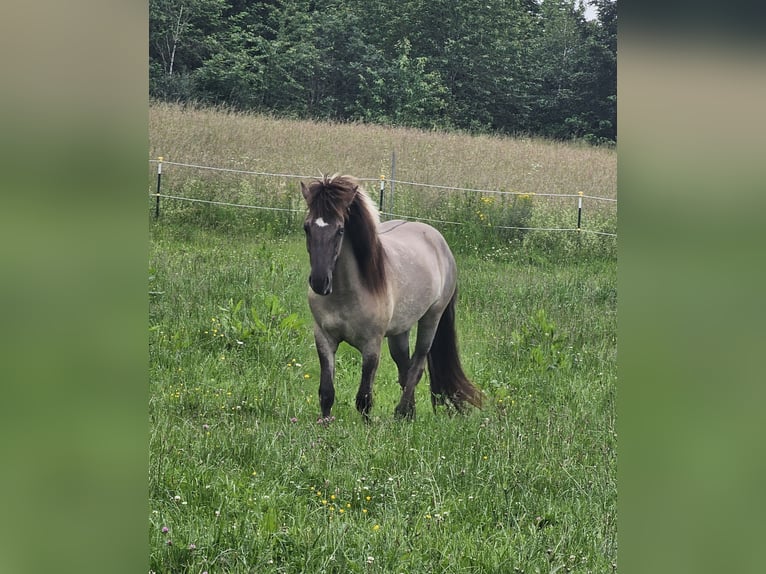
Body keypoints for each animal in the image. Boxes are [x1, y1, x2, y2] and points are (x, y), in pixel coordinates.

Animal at [298, 173, 480, 420]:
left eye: (340, 230)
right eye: (307, 228)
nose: (319, 282)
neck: (346, 295)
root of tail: (441, 244)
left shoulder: (372, 345)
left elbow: (364, 398)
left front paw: (366, 426)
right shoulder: (324, 339)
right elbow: (327, 392)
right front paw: (325, 423)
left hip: (431, 319)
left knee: (417, 366)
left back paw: (401, 413)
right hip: (399, 331)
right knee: (405, 367)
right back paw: (409, 414)